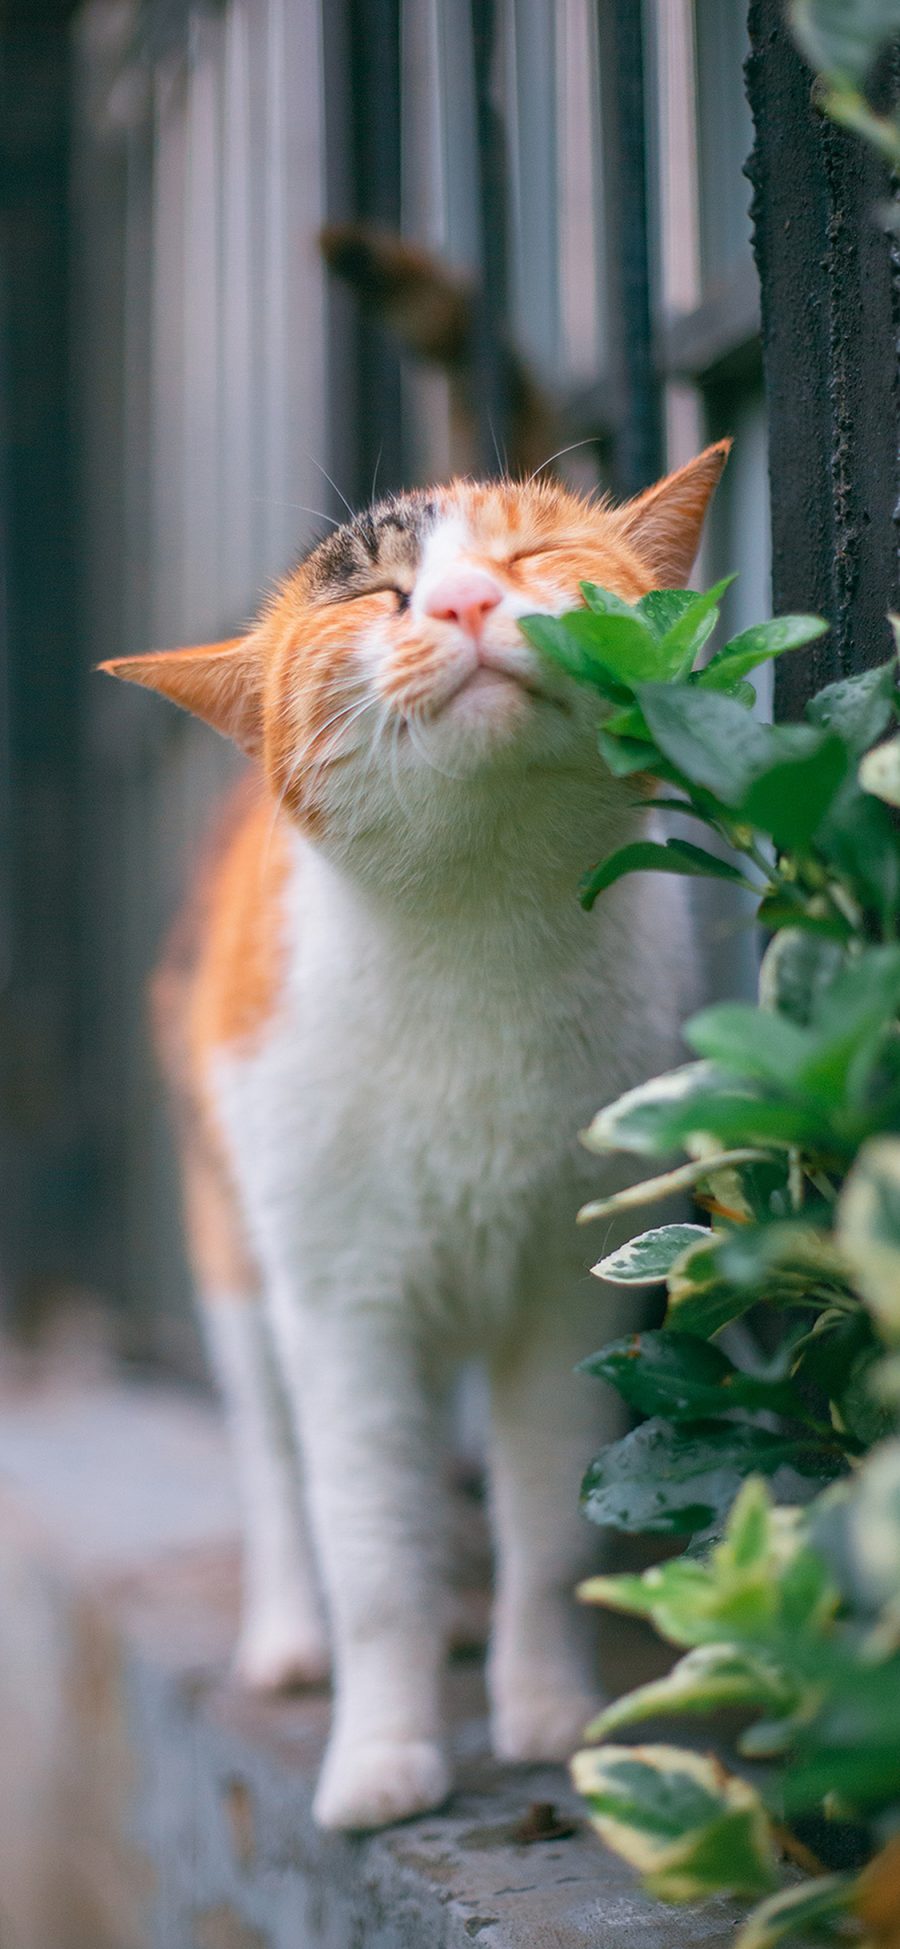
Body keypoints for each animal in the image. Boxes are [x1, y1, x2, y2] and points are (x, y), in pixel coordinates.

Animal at [101, 442, 728, 1824]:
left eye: (530, 556)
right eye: (381, 596)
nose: (463, 600)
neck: (479, 933)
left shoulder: (569, 1280)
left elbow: (547, 1520)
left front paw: (545, 1709)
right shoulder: (343, 1300)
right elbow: (372, 1555)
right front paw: (383, 1757)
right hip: (238, 1259)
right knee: (280, 1468)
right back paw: (294, 1635)